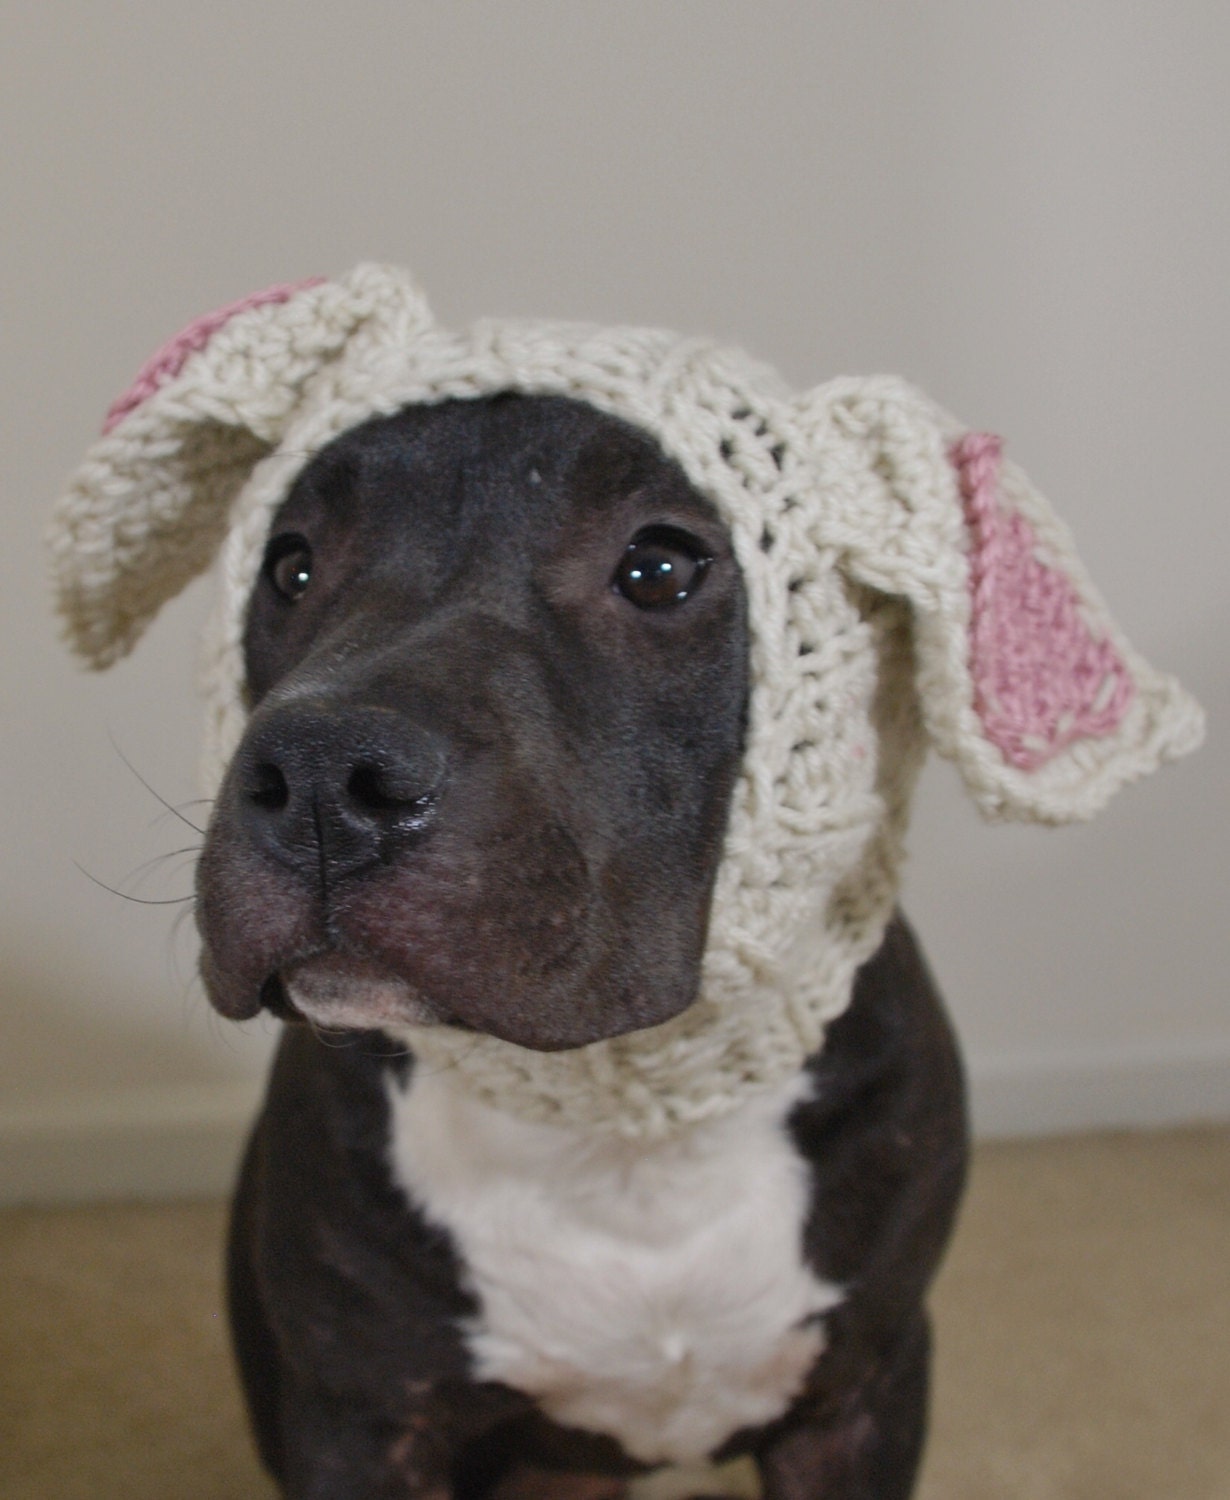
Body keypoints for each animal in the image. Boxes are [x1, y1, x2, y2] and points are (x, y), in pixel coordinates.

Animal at [50, 267, 1200, 1500]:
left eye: (661, 566)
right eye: (289, 564)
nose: (318, 773)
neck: (626, 1129)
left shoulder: (862, 1392)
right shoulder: (362, 1418)